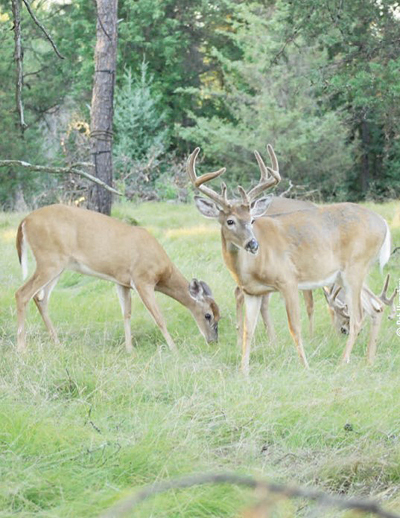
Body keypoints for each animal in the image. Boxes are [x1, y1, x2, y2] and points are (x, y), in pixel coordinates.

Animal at [15, 205, 220, 356]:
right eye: (207, 315)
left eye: (219, 316)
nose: (213, 341)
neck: (163, 270)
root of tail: (25, 221)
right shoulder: (142, 279)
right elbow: (159, 317)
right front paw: (174, 349)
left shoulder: (122, 282)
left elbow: (126, 313)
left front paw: (129, 349)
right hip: (49, 260)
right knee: (22, 293)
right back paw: (22, 348)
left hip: (58, 265)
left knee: (40, 298)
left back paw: (57, 344)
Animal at [188, 144, 390, 376]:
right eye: (230, 221)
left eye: (252, 220)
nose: (253, 244)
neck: (250, 268)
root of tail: (383, 223)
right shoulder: (252, 292)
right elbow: (249, 329)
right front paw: (243, 371)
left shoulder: (288, 280)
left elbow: (295, 327)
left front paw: (305, 366)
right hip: (346, 274)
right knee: (376, 307)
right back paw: (369, 361)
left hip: (355, 268)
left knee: (357, 317)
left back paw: (343, 362)